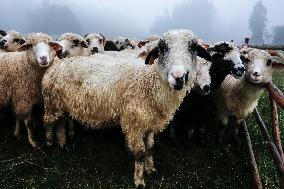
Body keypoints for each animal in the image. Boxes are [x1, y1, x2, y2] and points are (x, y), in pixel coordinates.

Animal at [41, 29, 211, 188]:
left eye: (193, 48)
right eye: (162, 48)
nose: (178, 76)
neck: (149, 81)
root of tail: (58, 63)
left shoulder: (150, 122)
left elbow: (150, 147)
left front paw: (151, 169)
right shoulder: (134, 122)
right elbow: (140, 153)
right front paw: (139, 181)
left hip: (61, 105)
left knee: (60, 123)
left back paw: (62, 143)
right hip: (52, 103)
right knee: (48, 123)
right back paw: (49, 144)